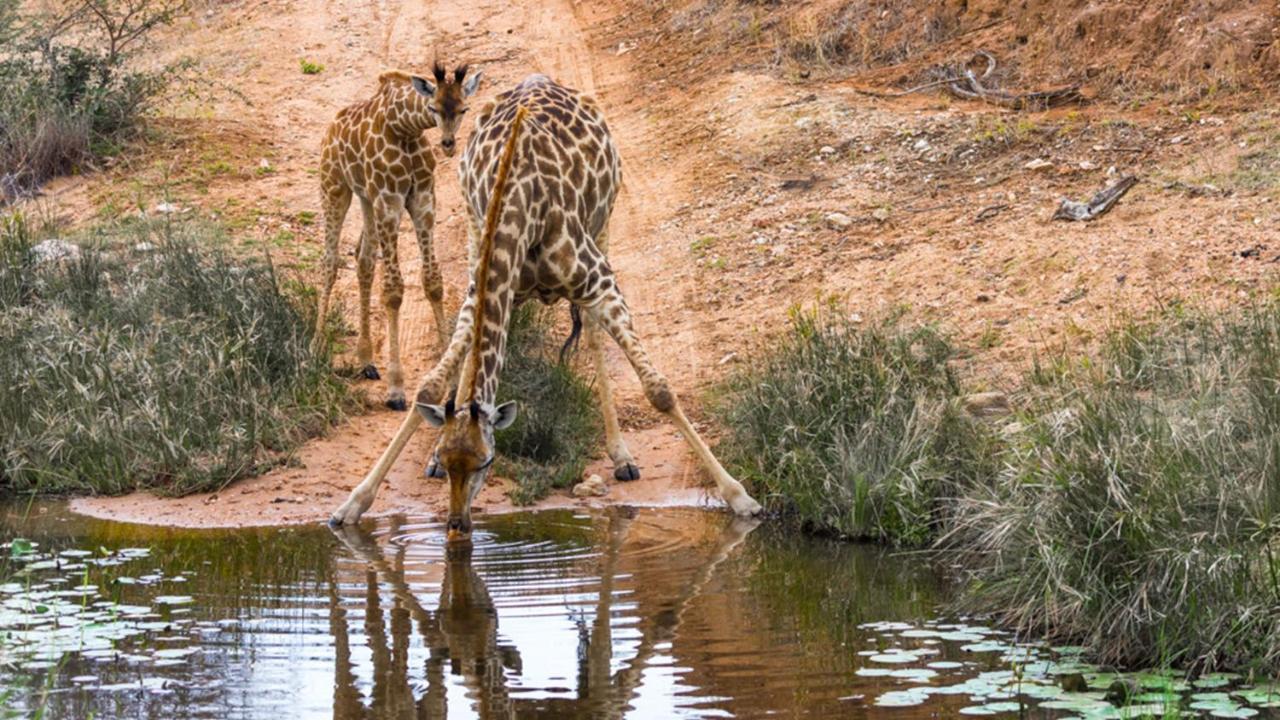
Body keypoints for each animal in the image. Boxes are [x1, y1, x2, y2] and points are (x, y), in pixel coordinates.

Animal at [317, 60, 481, 409]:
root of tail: (332, 126)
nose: (448, 144)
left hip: (366, 198)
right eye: (433, 107)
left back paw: (366, 360)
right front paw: (396, 390)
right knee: (329, 262)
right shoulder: (389, 200)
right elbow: (393, 290)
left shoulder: (422, 199)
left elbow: (433, 282)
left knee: (363, 259)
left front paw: (449, 387)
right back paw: (315, 346)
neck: (405, 128)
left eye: (463, 108)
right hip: (335, 187)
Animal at [330, 74, 757, 532]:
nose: (457, 525)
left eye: (487, 462)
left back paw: (621, 456)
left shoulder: (600, 280)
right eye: (449, 461)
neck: (521, 210)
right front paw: (352, 503)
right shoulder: (482, 288)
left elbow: (658, 389)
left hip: (603, 222)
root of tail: (540, 78)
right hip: (471, 227)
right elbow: (429, 385)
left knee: (593, 332)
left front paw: (740, 497)